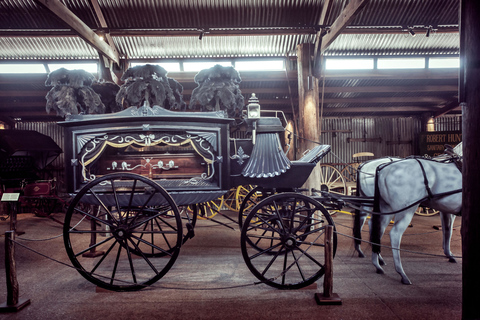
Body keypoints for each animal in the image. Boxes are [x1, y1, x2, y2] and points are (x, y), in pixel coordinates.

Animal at [372, 144, 462, 284]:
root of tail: (384, 169)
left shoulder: (447, 210)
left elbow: (447, 231)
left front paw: (449, 254)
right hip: (406, 211)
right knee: (395, 234)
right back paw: (402, 274)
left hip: (386, 209)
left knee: (378, 230)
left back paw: (377, 265)